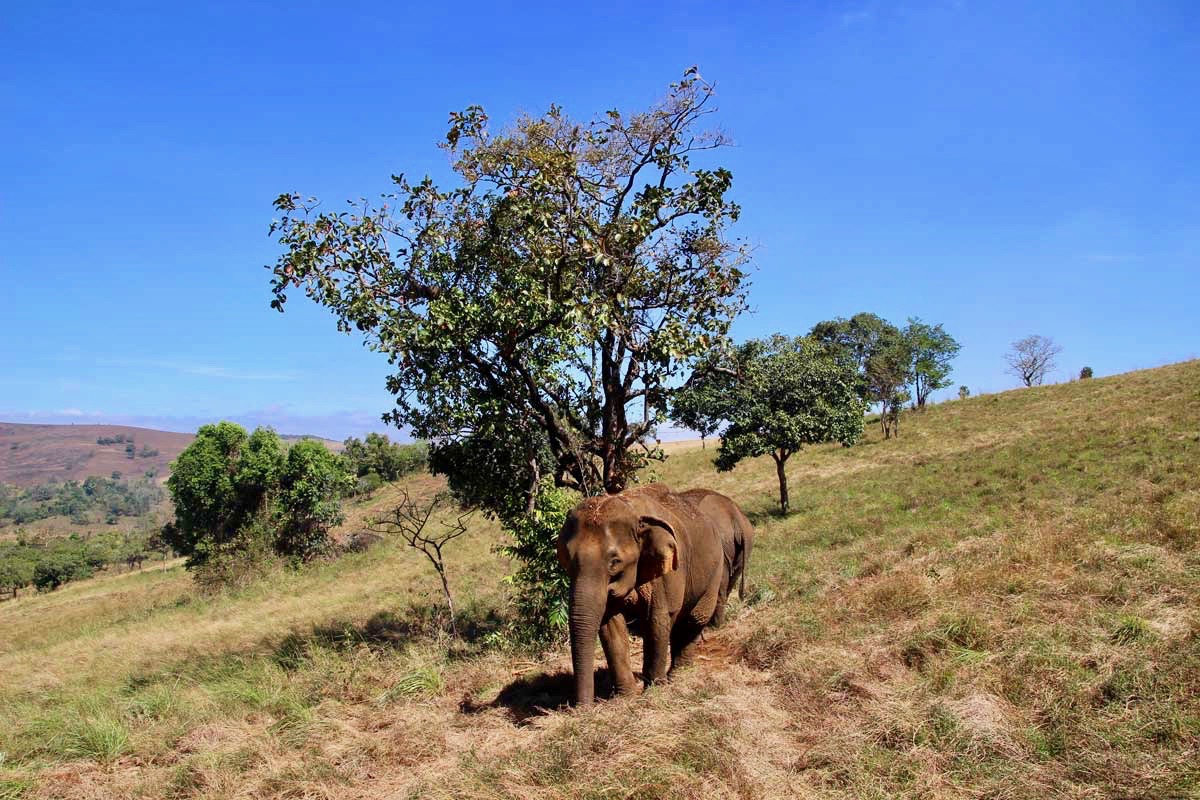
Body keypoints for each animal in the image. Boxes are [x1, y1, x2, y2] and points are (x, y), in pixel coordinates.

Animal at [559, 484, 753, 705]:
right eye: (566, 560)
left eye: (615, 562)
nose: (582, 708)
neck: (632, 511)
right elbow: (611, 625)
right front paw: (626, 697)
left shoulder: (669, 571)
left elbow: (658, 619)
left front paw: (653, 692)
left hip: (716, 567)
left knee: (695, 617)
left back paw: (678, 676)